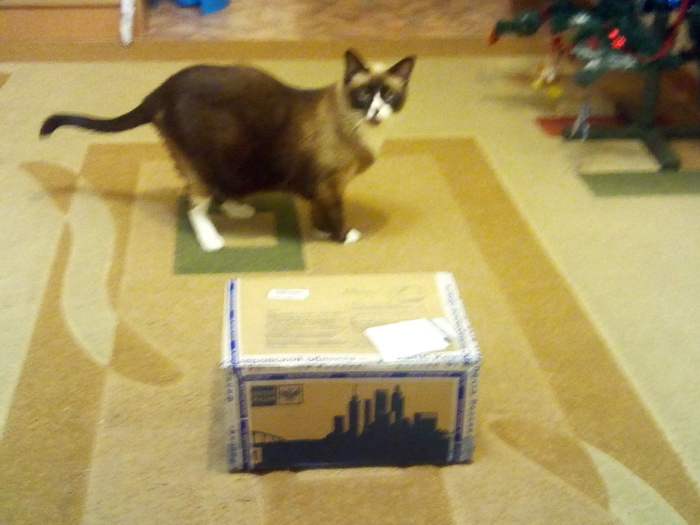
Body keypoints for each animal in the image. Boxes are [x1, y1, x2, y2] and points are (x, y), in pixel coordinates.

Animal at [40, 49, 416, 251]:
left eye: (389, 95)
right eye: (364, 95)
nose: (376, 111)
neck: (362, 130)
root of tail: (160, 90)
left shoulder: (322, 186)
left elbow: (320, 212)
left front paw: (321, 230)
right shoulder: (329, 184)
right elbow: (336, 214)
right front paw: (342, 236)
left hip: (230, 164)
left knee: (218, 193)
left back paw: (239, 210)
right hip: (204, 163)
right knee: (195, 205)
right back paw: (212, 241)